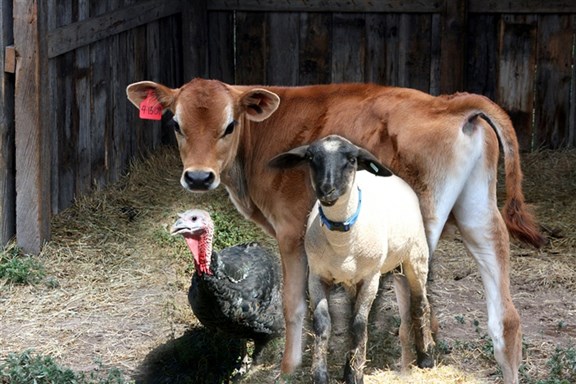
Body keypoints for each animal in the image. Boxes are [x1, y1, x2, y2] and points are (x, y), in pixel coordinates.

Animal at [270, 135, 436, 384]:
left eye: (351, 159)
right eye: (310, 157)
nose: (326, 190)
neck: (343, 242)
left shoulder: (370, 278)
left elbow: (359, 324)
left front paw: (355, 375)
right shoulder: (317, 276)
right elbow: (323, 323)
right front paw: (322, 375)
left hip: (416, 255)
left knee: (420, 303)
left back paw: (426, 357)